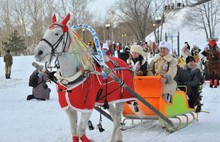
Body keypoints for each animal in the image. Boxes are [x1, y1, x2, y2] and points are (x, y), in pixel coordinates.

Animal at [34, 13, 135, 142]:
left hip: (122, 99)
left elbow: (80, 131)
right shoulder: (69, 108)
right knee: (115, 118)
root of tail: (124, 63)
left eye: (56, 33)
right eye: (45, 32)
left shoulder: (87, 107)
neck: (71, 79)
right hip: (108, 99)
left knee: (117, 120)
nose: (38, 52)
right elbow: (74, 131)